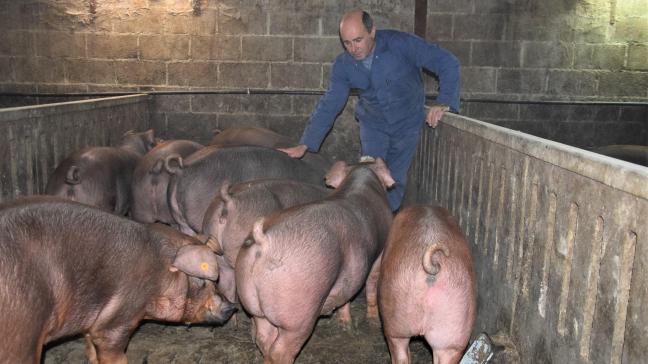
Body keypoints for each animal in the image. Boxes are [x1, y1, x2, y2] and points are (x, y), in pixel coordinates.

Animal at [0, 196, 235, 364]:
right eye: (204, 282)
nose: (233, 306)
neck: (158, 271)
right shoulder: (121, 315)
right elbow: (112, 349)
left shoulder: (93, 317)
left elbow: (90, 346)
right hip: (23, 329)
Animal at [235, 158, 392, 362]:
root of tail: (264, 241)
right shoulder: (379, 253)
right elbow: (371, 285)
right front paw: (373, 322)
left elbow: (346, 294)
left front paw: (346, 325)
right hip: (299, 310)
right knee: (280, 350)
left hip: (253, 303)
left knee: (264, 338)